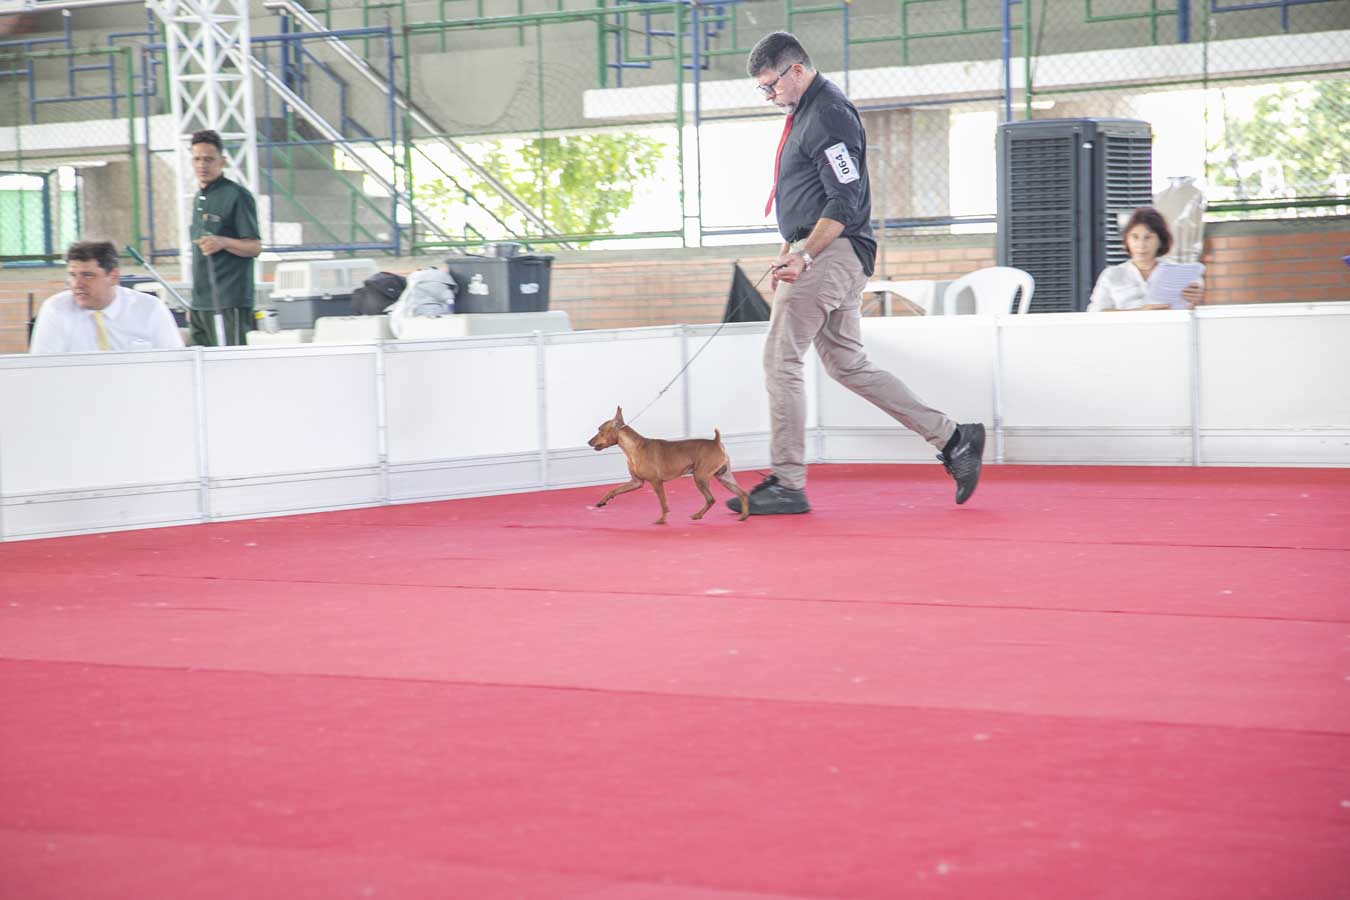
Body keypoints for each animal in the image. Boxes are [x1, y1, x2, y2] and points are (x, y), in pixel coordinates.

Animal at [588, 406, 749, 525]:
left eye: (600, 430)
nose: (588, 442)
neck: (634, 447)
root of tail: (716, 442)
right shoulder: (636, 482)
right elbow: (614, 490)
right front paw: (603, 501)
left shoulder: (656, 482)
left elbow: (663, 503)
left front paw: (662, 519)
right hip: (724, 477)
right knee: (742, 493)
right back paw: (744, 516)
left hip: (700, 477)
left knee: (711, 499)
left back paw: (697, 515)